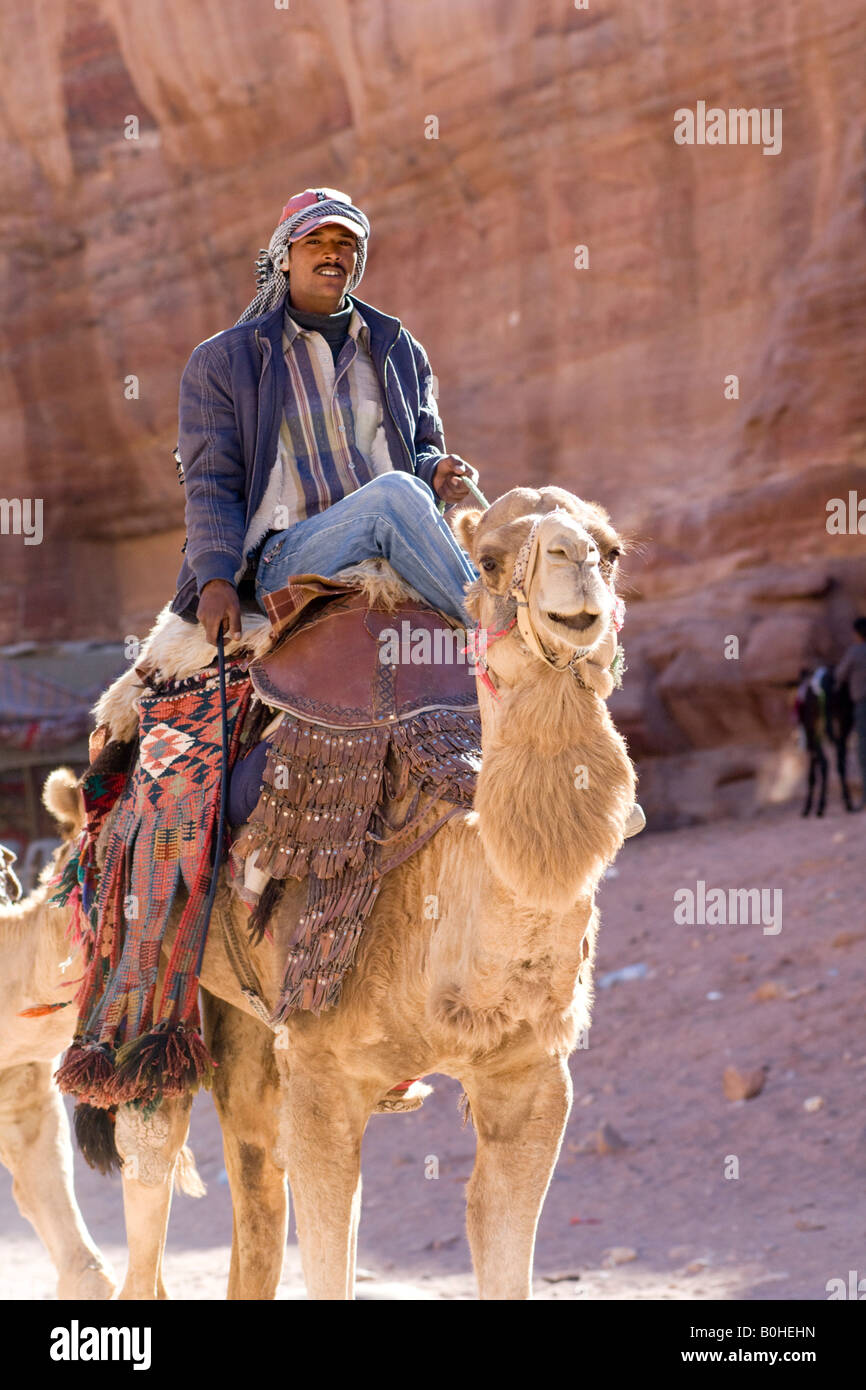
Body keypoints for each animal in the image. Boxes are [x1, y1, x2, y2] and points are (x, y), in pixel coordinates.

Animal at [79, 486, 636, 1301]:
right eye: (490, 559)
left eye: (613, 548)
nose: (577, 562)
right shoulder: (323, 1071)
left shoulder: (531, 1077)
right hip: (144, 944)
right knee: (149, 1129)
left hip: (245, 1022)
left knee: (253, 1176)